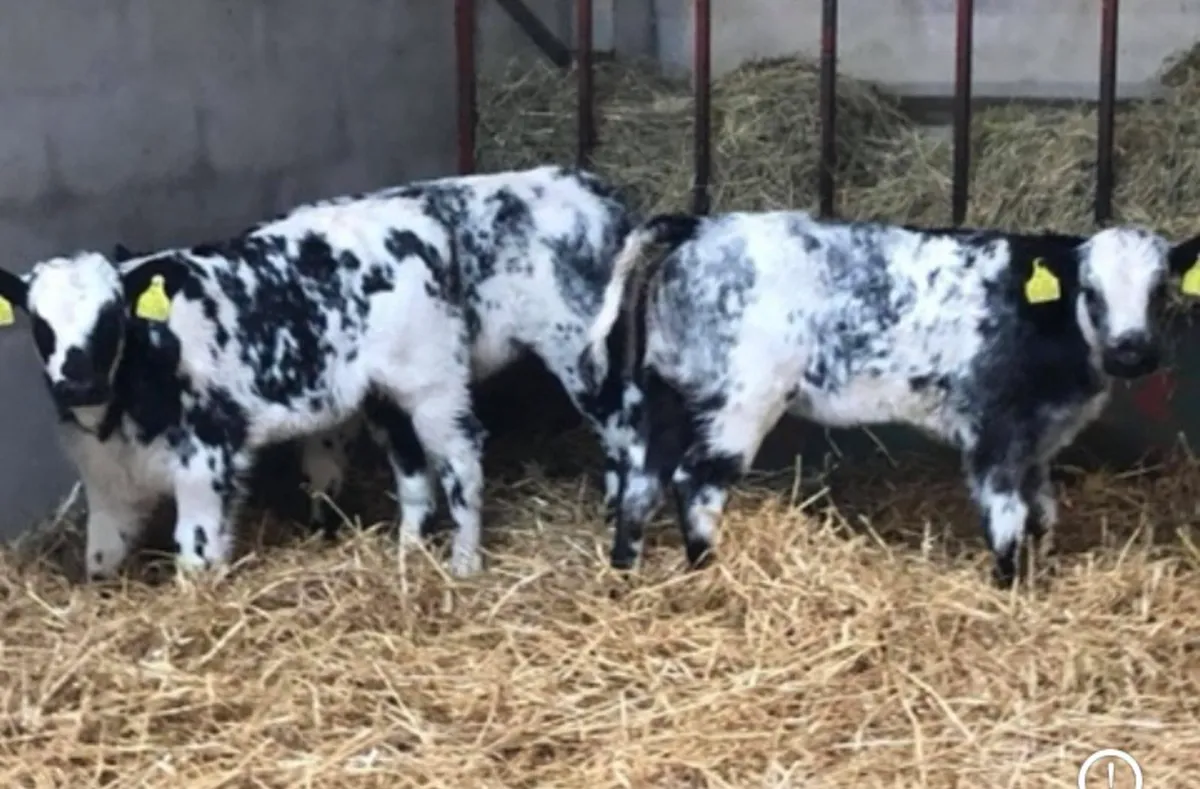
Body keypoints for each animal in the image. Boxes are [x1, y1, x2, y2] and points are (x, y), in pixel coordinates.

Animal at [584, 210, 1200, 586]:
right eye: (1090, 291)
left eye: (1160, 290)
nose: (1131, 352)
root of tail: (698, 225)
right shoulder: (995, 436)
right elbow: (1007, 520)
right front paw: (1008, 590)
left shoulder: (1039, 446)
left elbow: (1043, 515)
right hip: (743, 403)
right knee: (697, 483)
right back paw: (710, 575)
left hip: (667, 393)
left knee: (642, 485)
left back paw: (627, 577)